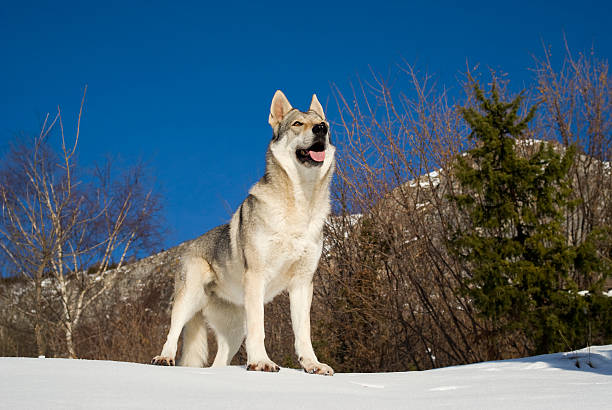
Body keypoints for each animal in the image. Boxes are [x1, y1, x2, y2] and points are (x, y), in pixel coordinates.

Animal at [152, 89, 334, 374]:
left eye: (323, 123)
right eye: (298, 124)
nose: (321, 129)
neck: (299, 204)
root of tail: (189, 245)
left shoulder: (303, 283)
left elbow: (303, 333)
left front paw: (312, 365)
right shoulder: (257, 277)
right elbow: (259, 329)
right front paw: (261, 362)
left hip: (234, 331)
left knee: (218, 362)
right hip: (189, 299)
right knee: (172, 334)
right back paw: (164, 358)